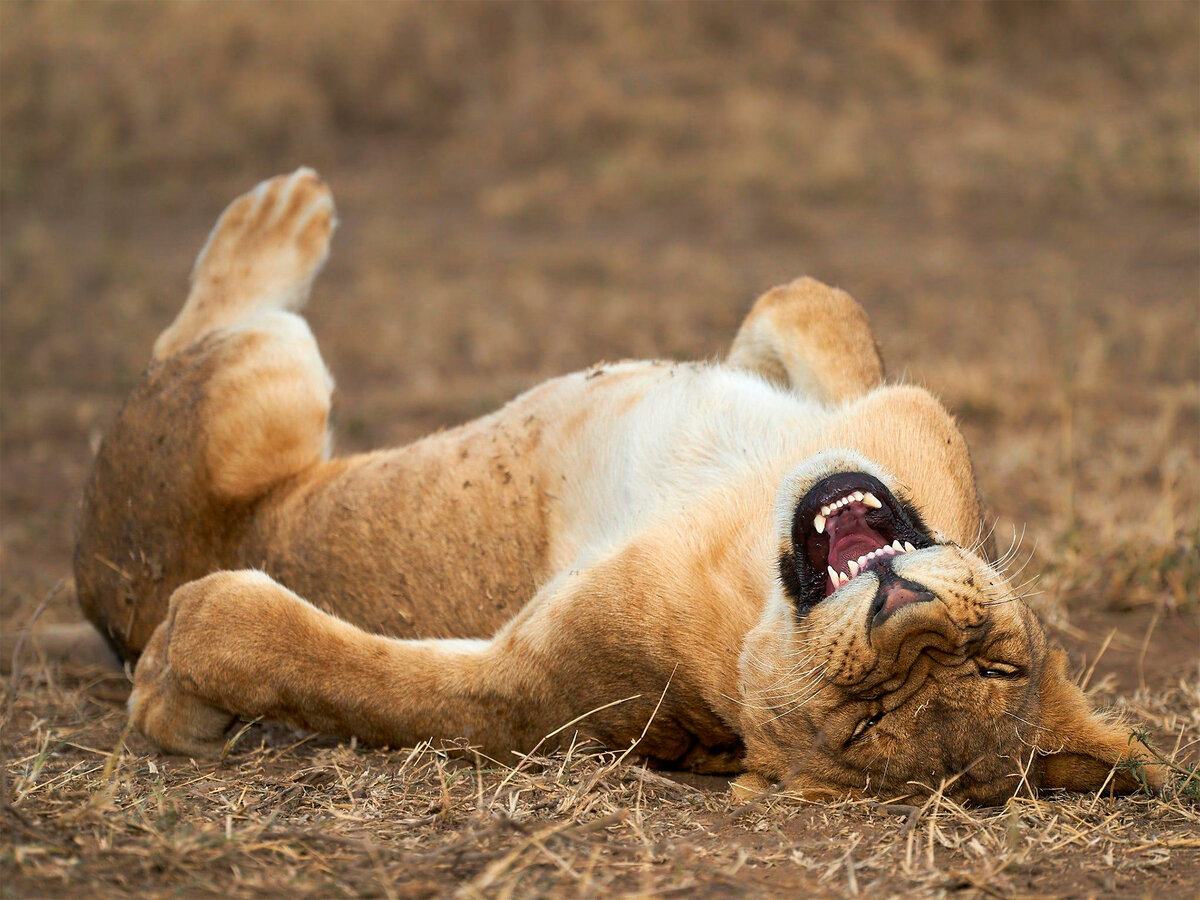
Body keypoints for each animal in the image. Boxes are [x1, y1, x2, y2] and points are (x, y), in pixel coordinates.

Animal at [58, 168, 1161, 801]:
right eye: (998, 666)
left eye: (863, 723)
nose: (912, 622)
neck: (748, 549)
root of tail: (100, 589)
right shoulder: (886, 412)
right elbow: (813, 300)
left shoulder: (532, 693)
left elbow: (337, 669)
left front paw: (174, 685)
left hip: (265, 383)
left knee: (210, 336)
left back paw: (277, 220)